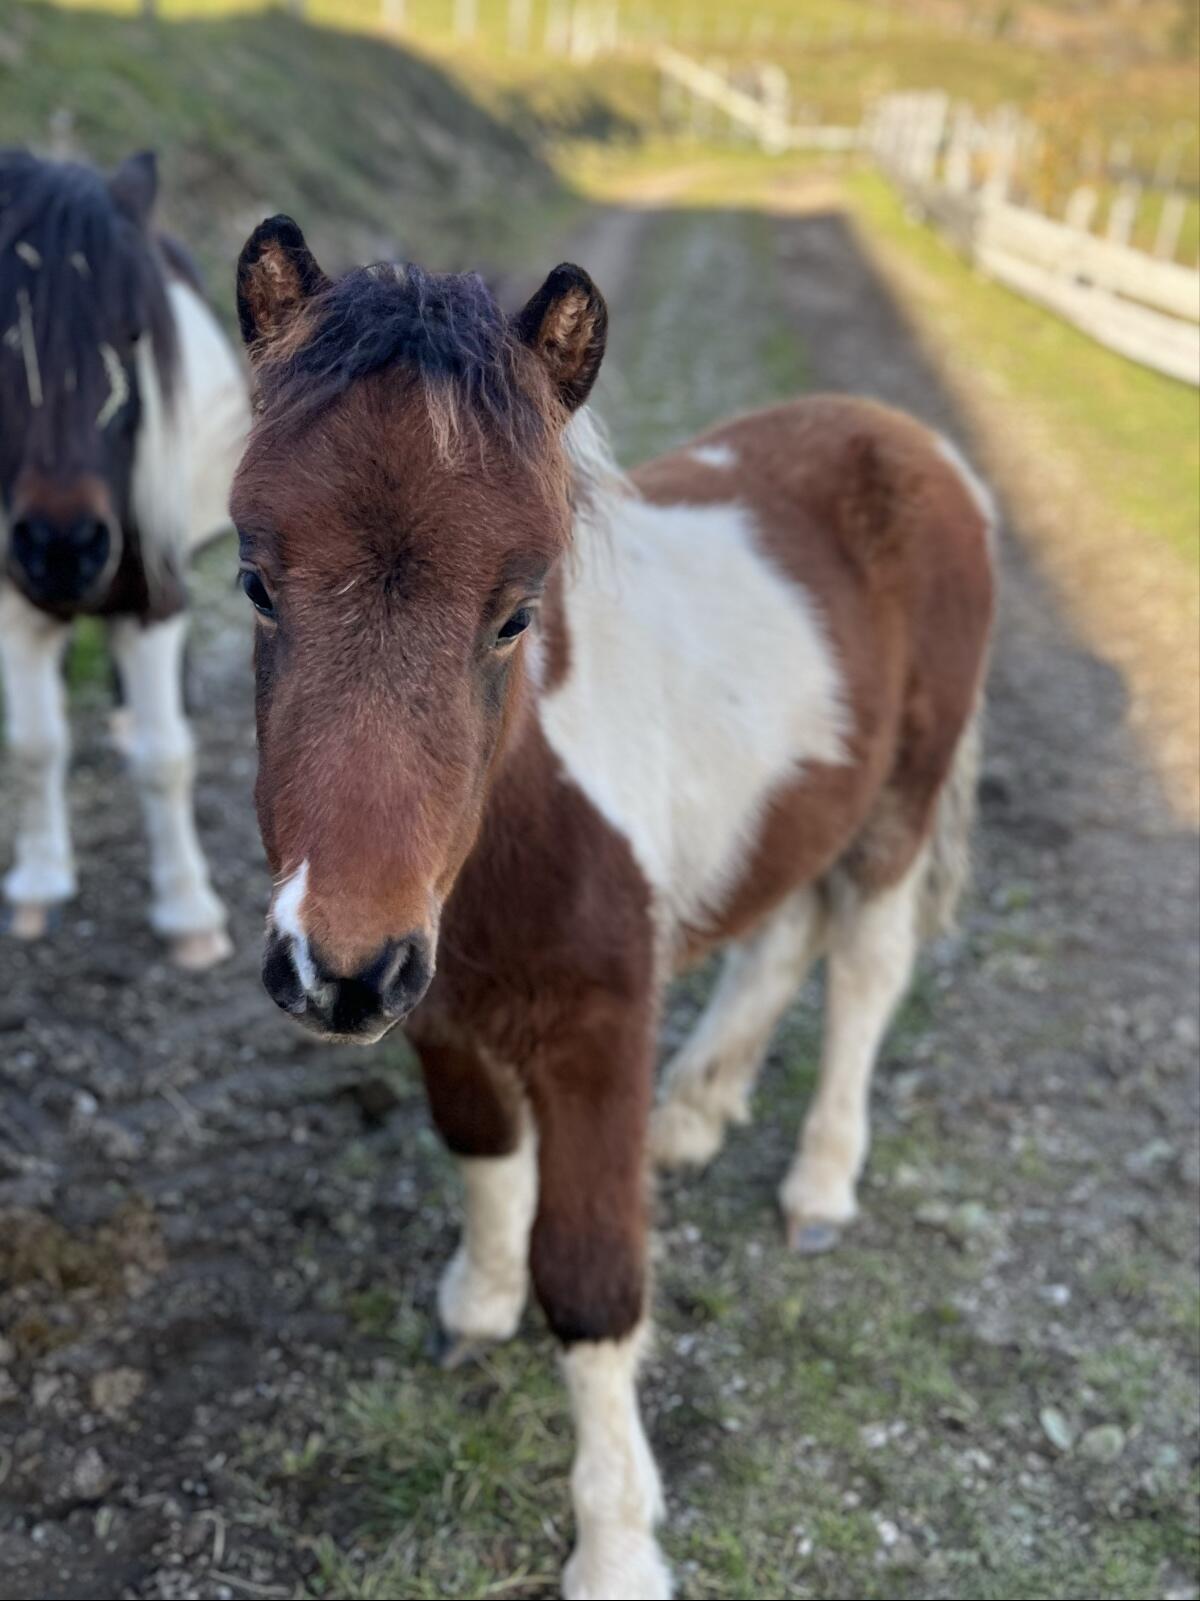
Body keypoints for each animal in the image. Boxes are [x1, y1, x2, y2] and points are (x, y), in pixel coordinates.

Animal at [0, 149, 248, 969]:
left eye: (135, 335)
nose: (62, 546)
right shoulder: (12, 600)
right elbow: (35, 744)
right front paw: (39, 881)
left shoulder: (155, 599)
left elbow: (168, 759)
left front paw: (188, 912)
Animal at [231, 214, 994, 1600]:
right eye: (256, 580)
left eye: (518, 612)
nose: (339, 971)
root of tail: (913, 441)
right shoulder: (442, 1010)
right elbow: (483, 1147)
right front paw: (476, 1300)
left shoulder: (596, 1029)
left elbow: (590, 1284)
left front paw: (618, 1544)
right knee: (784, 924)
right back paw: (697, 1111)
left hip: (902, 800)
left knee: (864, 963)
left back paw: (818, 1180)